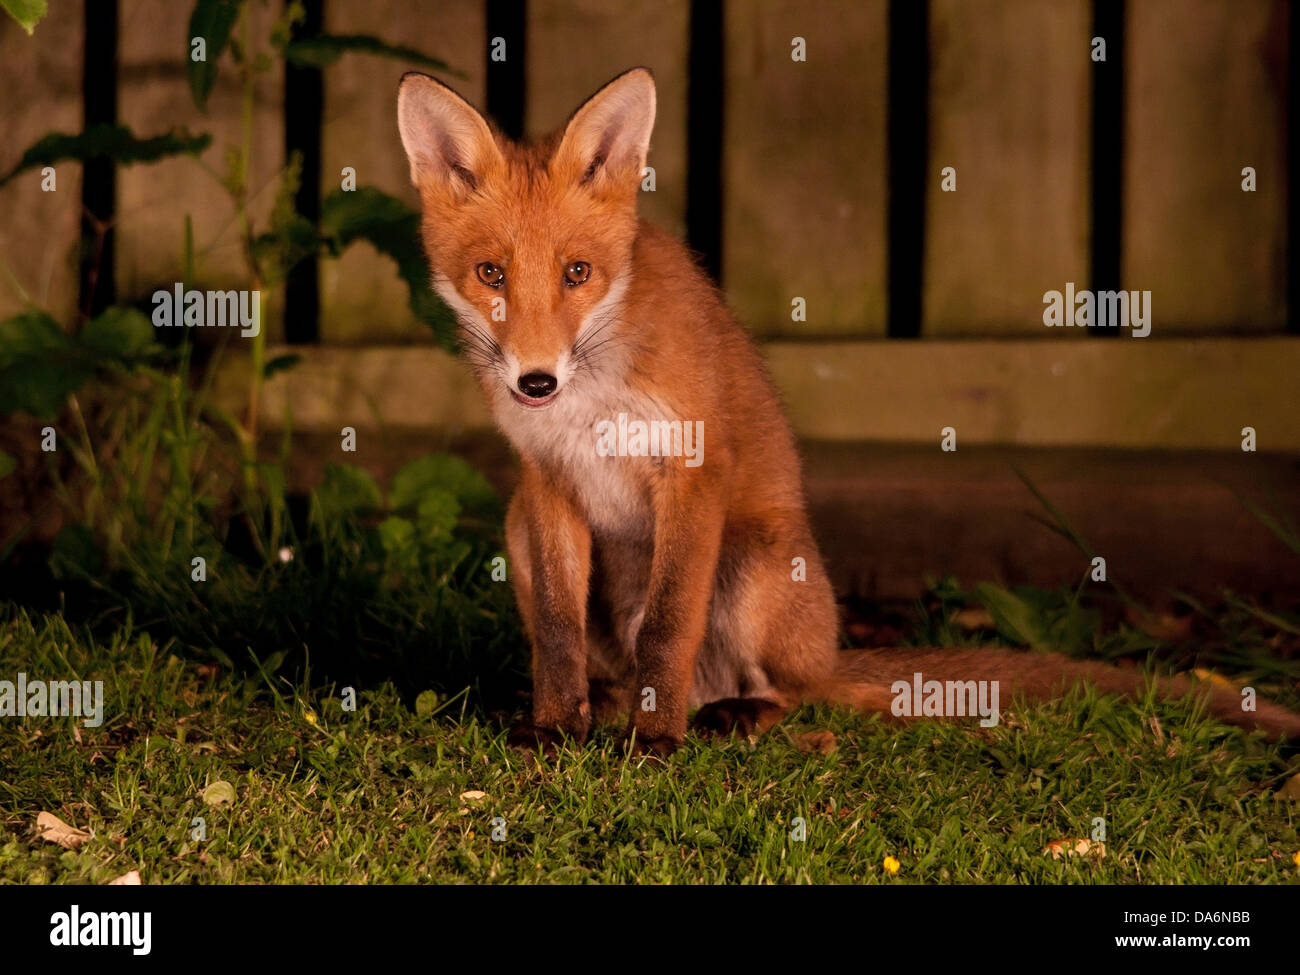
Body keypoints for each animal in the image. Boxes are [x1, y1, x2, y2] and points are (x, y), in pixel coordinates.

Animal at [395, 68, 1300, 759]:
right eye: (491, 273)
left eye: (577, 272)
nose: (536, 382)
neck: (593, 399)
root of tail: (832, 649)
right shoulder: (547, 483)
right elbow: (556, 632)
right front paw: (555, 728)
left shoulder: (691, 472)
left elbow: (669, 627)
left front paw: (654, 744)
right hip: (517, 527)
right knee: (610, 663)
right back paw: (611, 707)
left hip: (754, 567)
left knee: (786, 691)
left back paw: (724, 714)